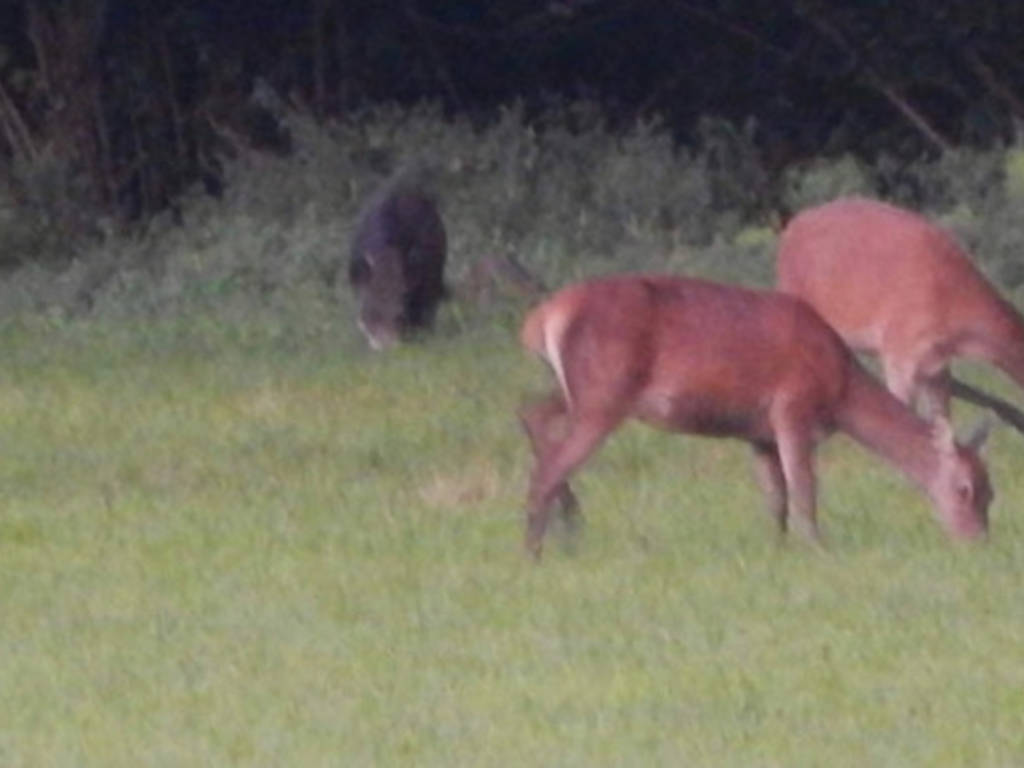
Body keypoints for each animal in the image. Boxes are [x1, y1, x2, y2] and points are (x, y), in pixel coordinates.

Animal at [520, 274, 991, 561]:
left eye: (993, 491)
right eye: (965, 489)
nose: (977, 541)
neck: (840, 390)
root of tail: (542, 317)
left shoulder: (757, 432)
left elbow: (776, 498)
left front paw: (777, 553)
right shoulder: (792, 405)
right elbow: (804, 490)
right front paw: (819, 550)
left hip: (578, 391)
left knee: (531, 413)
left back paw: (568, 528)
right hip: (603, 393)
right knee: (547, 467)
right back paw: (537, 552)